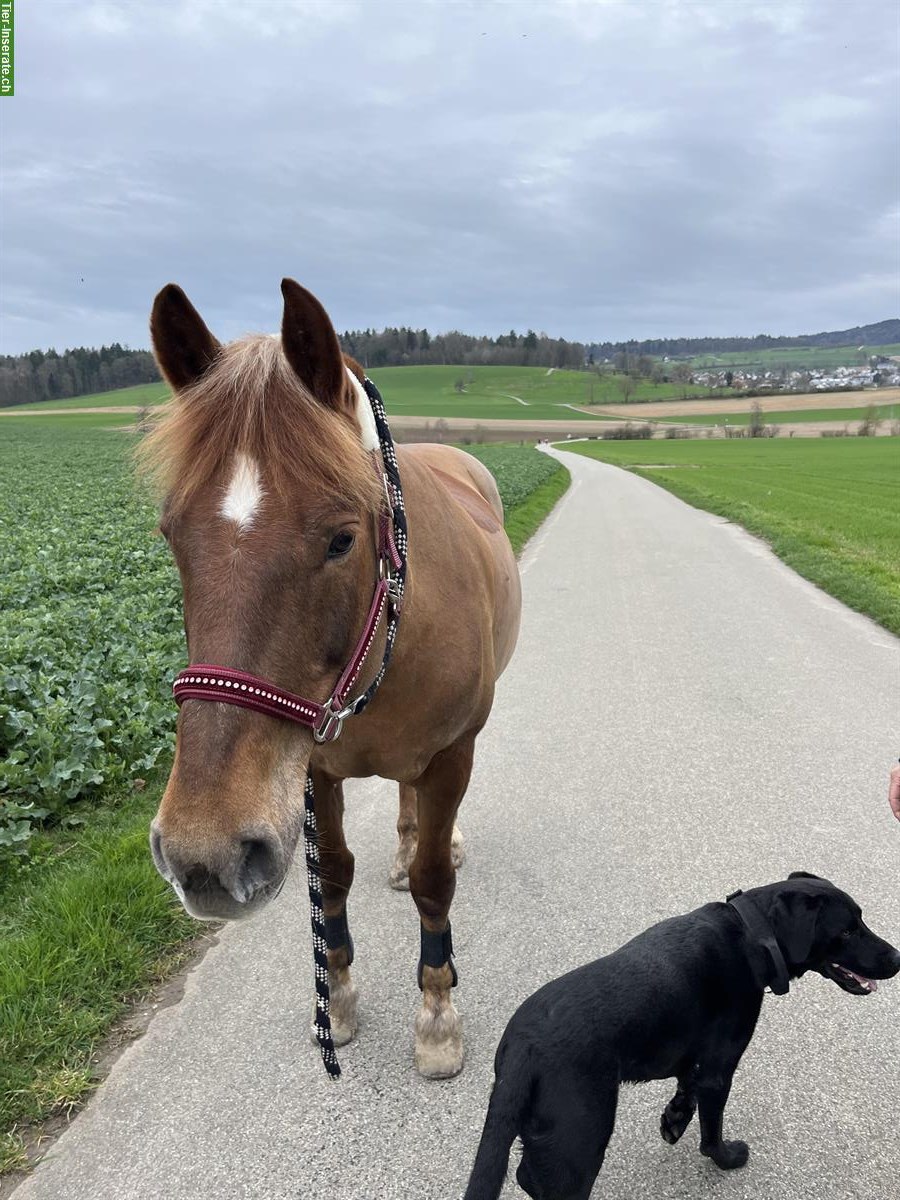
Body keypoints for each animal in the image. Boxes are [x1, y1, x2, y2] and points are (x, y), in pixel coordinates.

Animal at [145, 280, 525, 1080]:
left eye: (342, 539)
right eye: (172, 535)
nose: (204, 855)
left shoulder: (452, 754)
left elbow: (436, 885)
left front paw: (437, 1016)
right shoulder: (311, 772)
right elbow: (336, 877)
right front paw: (340, 998)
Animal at [468, 873, 897, 1200]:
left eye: (861, 921)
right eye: (847, 931)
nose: (896, 958)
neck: (752, 935)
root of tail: (522, 1049)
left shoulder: (685, 1050)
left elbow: (686, 1081)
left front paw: (674, 1118)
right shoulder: (720, 1068)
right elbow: (711, 1131)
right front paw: (727, 1157)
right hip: (581, 1136)